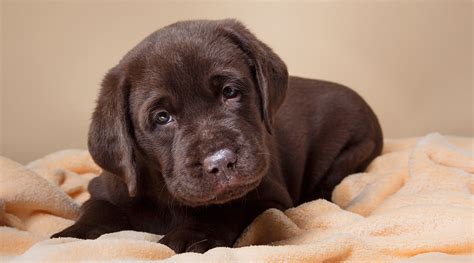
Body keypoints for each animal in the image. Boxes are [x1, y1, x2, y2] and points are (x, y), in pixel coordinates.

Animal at [51, 18, 384, 254]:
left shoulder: (269, 196)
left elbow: (228, 207)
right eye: (162, 117)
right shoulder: (106, 187)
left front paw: (190, 234)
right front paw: (69, 236)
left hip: (354, 148)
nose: (221, 162)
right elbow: (96, 209)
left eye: (230, 92)